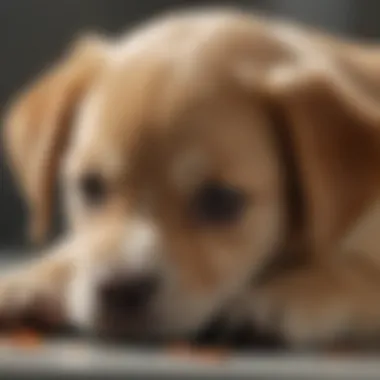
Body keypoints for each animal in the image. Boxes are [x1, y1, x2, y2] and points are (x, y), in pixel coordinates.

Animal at [2, 8, 380, 348]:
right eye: (90, 186)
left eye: (220, 199)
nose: (120, 291)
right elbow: (77, 251)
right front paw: (33, 279)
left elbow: (352, 271)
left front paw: (275, 297)